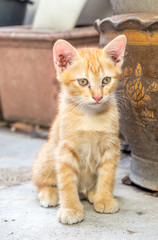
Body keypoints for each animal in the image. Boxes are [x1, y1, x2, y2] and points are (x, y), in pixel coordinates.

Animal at [31, 34, 126, 224]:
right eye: (83, 82)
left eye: (106, 80)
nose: (98, 97)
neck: (90, 115)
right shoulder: (65, 148)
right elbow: (66, 181)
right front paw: (70, 208)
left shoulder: (112, 145)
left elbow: (107, 174)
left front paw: (104, 198)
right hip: (46, 157)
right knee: (39, 181)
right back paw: (49, 193)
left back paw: (93, 193)